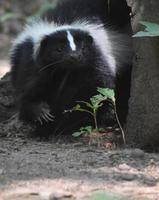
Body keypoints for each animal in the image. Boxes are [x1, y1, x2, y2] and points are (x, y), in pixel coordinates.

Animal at [9, 0, 132, 136]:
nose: (75, 56)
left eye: (83, 48)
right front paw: (41, 113)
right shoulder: (31, 61)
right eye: (58, 49)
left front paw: (65, 122)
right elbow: (27, 88)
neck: (64, 70)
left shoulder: (96, 63)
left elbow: (93, 91)